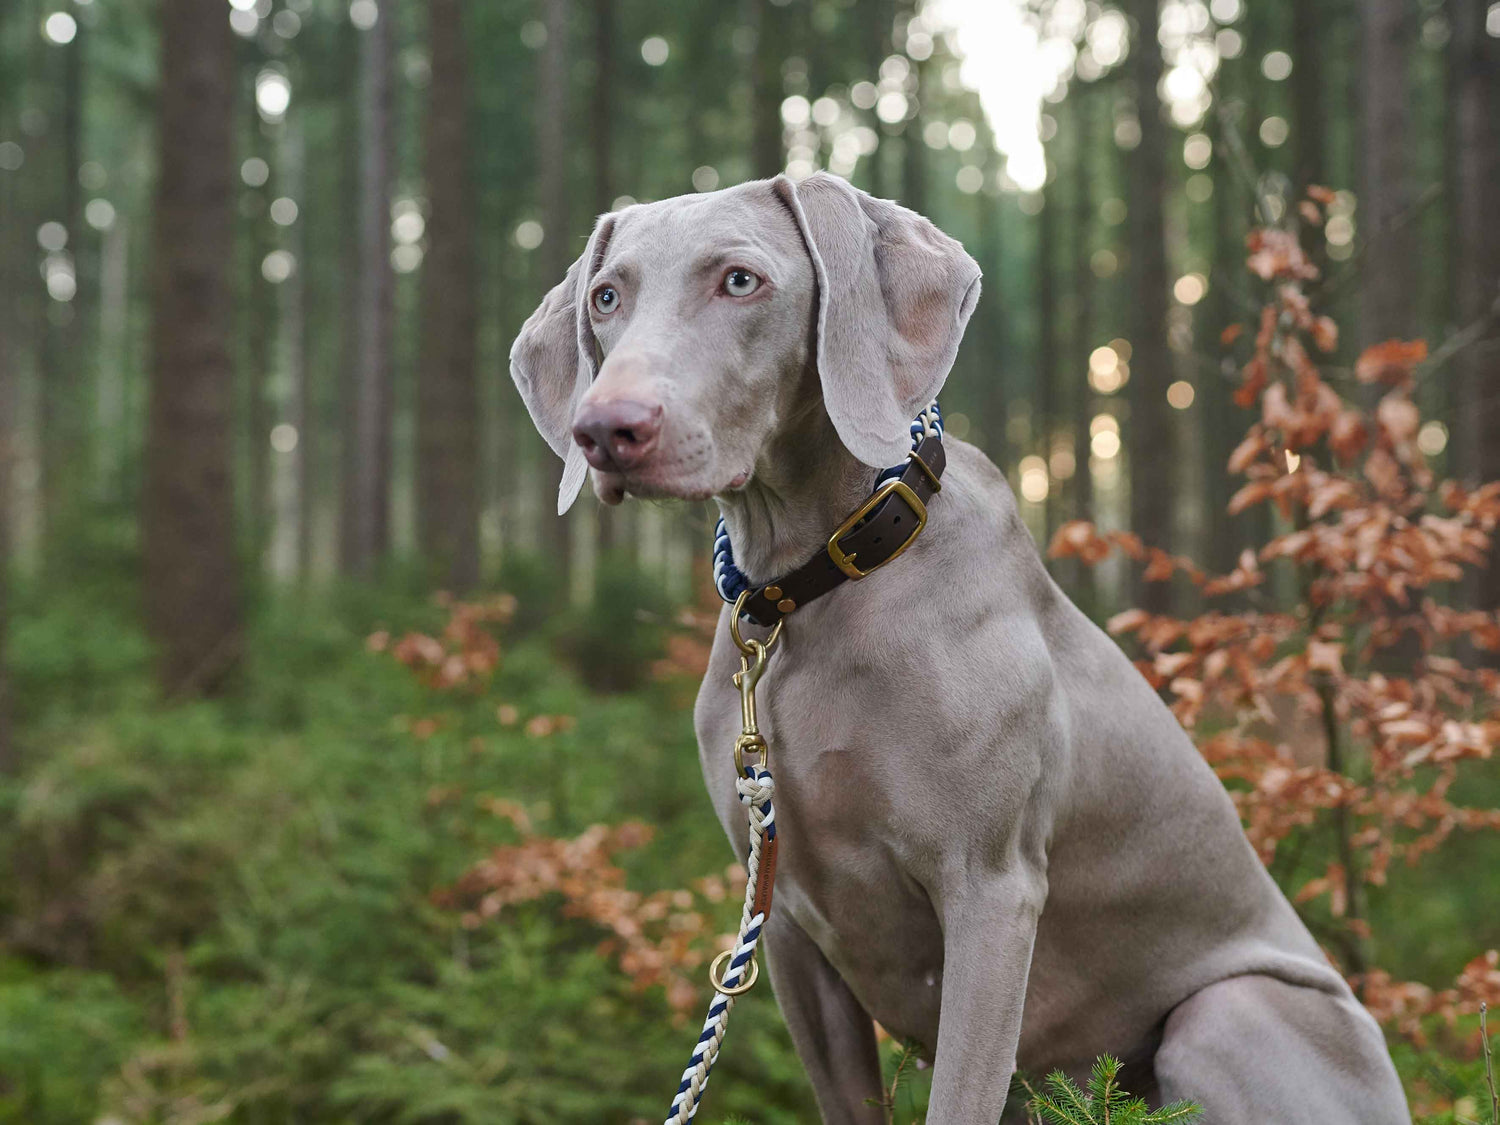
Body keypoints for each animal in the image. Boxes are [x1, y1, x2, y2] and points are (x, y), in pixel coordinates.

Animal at [510, 171, 1410, 1122]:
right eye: (607, 297)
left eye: (740, 281)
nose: (607, 429)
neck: (811, 590)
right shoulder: (784, 919)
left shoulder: (990, 891)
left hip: (1228, 1010)